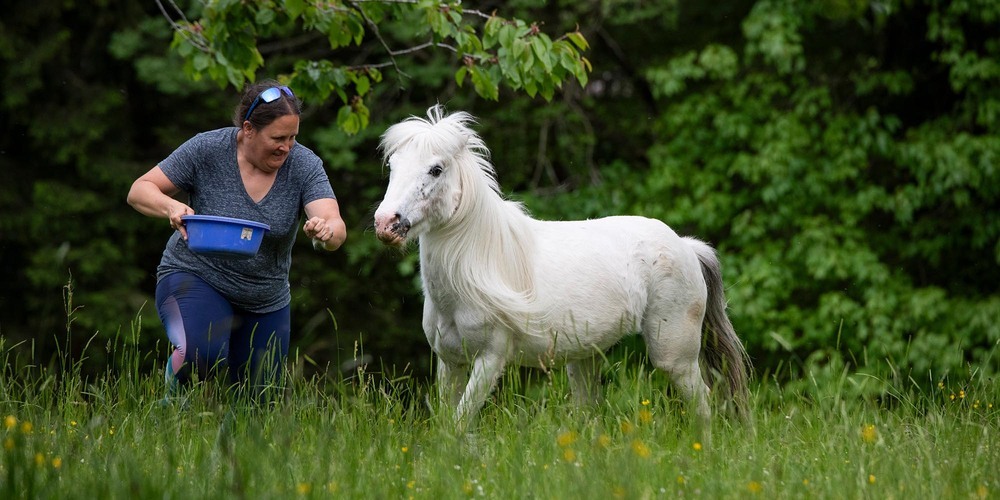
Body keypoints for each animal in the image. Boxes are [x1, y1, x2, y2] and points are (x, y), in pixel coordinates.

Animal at [373, 105, 750, 437]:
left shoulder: (489, 360)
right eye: (392, 165)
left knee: (701, 403)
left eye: (436, 169)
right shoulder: (450, 362)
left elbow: (459, 423)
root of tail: (686, 246)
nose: (386, 223)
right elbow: (450, 425)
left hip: (674, 357)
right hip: (585, 360)